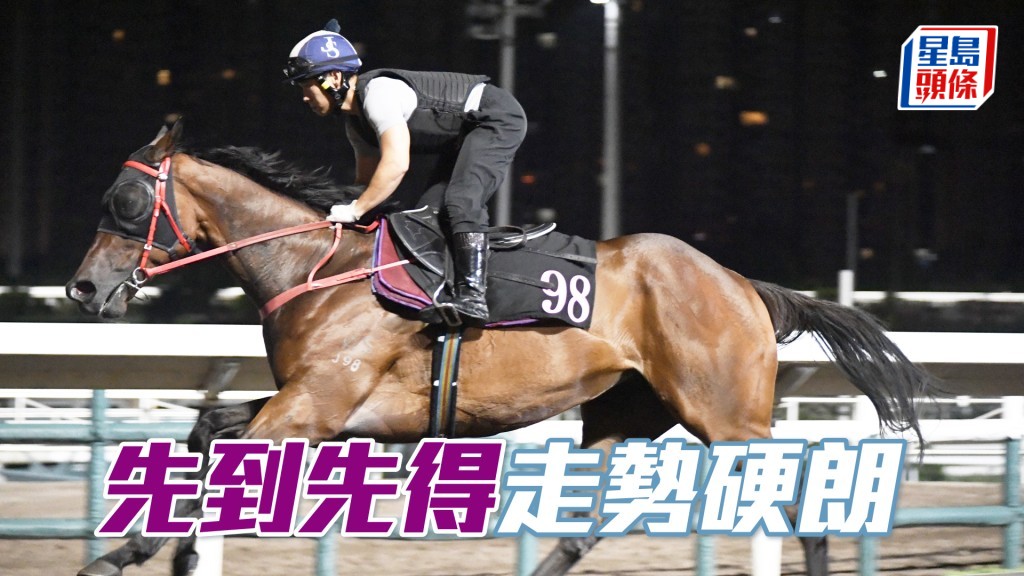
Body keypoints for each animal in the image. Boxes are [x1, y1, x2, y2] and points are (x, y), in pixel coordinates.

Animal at [67, 122, 935, 576]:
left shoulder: (314, 408)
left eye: (126, 200)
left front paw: (124, 552)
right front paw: (162, 548)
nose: (82, 290)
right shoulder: (320, 409)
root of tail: (742, 283)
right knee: (587, 524)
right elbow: (207, 431)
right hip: (626, 413)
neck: (316, 269)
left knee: (804, 497)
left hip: (726, 415)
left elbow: (222, 461)